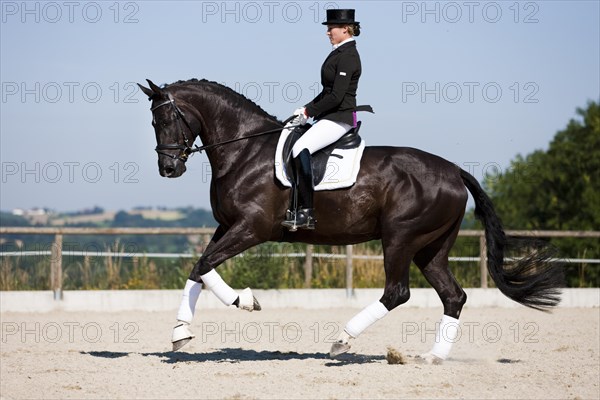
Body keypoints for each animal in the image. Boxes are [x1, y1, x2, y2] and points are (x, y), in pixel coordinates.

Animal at [139, 79, 564, 360]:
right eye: (153, 123)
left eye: (168, 120)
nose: (168, 169)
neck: (245, 151)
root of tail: (455, 171)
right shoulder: (227, 226)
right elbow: (198, 268)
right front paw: (181, 332)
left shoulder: (252, 228)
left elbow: (205, 265)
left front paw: (245, 300)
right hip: (431, 247)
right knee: (452, 295)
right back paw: (433, 357)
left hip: (400, 237)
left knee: (397, 292)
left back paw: (343, 340)